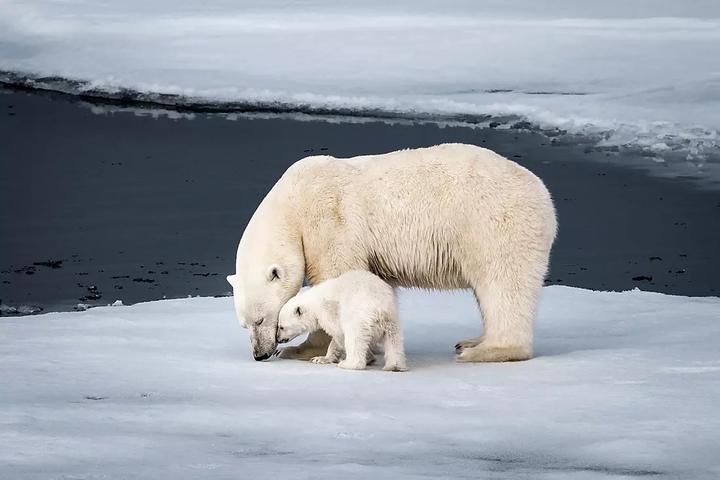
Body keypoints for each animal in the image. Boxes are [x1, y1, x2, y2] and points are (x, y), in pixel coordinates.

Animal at [228, 144, 560, 362]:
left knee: (502, 282)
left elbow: (335, 278)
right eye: (244, 324)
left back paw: (484, 350)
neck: (292, 202)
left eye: (261, 320)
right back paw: (471, 341)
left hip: (494, 223)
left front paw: (305, 350)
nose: (260, 354)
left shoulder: (329, 219)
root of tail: (544, 196)